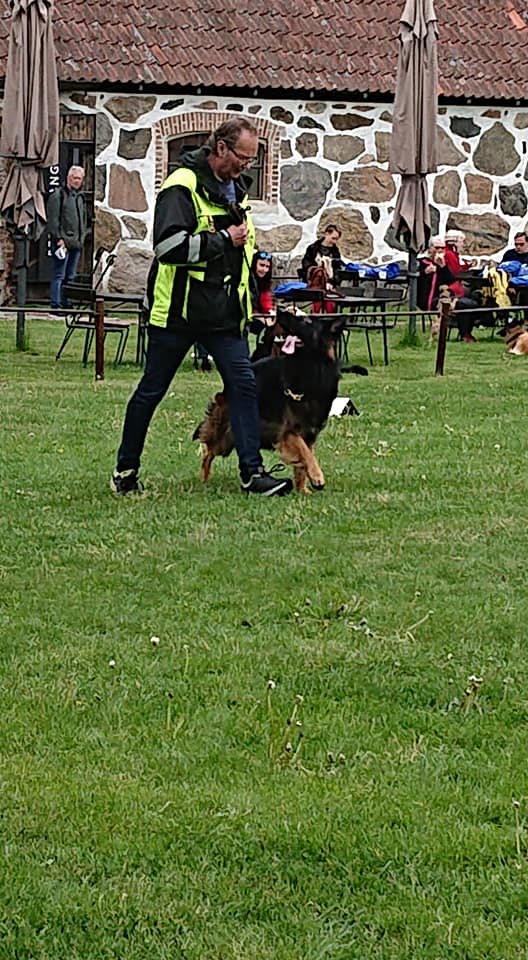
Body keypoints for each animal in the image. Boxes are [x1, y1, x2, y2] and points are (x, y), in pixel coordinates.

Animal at [193, 309, 365, 493]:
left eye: (306, 320)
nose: (279, 312)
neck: (310, 368)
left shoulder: (310, 432)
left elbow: (303, 462)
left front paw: (303, 490)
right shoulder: (288, 430)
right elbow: (305, 452)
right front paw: (317, 476)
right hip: (225, 436)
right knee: (208, 452)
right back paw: (203, 480)